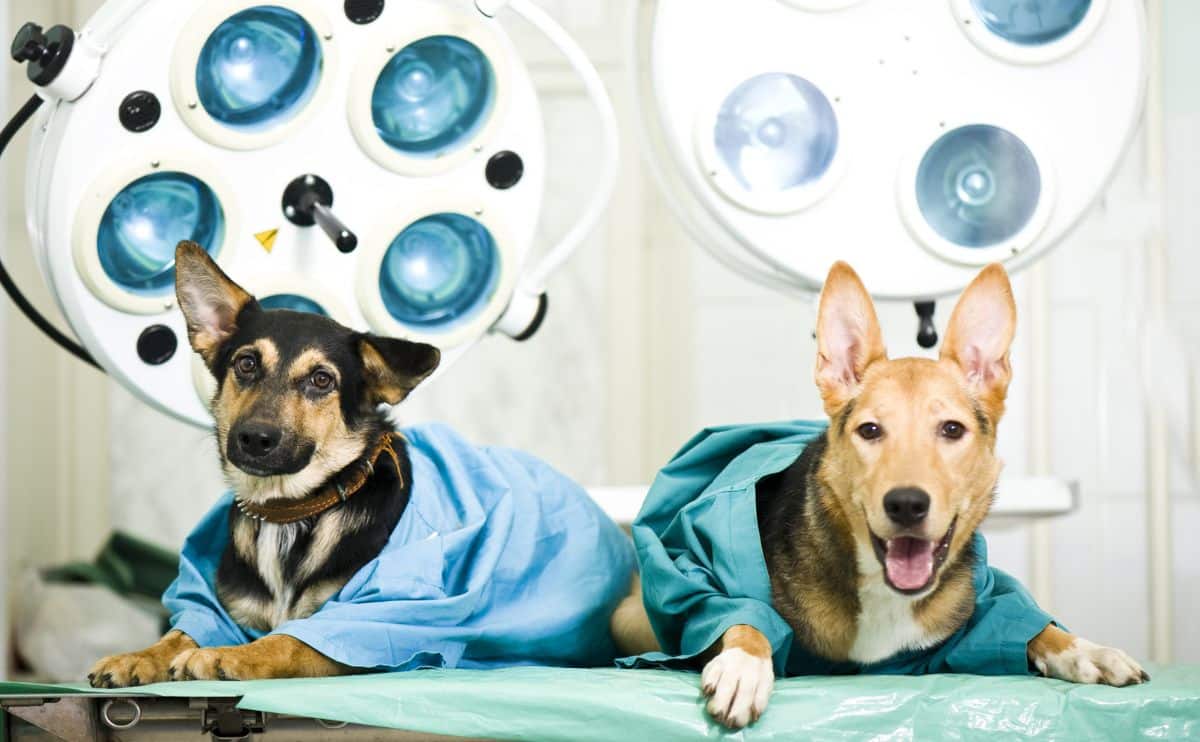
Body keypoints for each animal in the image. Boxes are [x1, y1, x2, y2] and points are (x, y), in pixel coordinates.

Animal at [90, 240, 441, 686]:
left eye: (322, 380)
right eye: (246, 363)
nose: (255, 439)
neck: (289, 513)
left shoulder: (369, 622)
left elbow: (287, 641)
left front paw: (224, 657)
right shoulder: (225, 610)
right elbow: (179, 632)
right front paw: (137, 656)